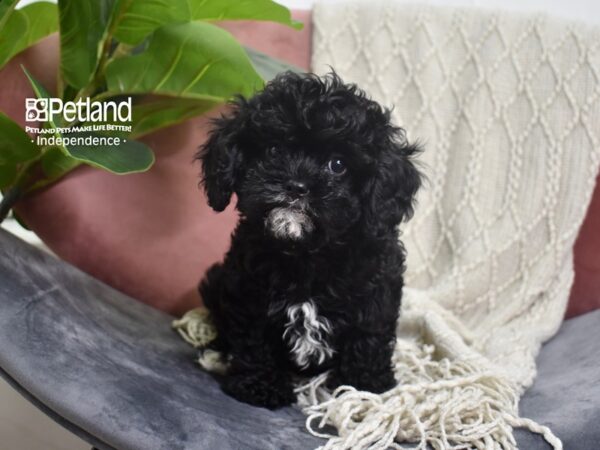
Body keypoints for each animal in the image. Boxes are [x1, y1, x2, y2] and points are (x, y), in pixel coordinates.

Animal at [198, 72, 422, 410]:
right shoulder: (247, 290)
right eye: (273, 150)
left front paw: (364, 388)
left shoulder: (377, 292)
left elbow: (367, 337)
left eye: (338, 164)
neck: (307, 253)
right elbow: (254, 339)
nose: (296, 185)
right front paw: (260, 386)